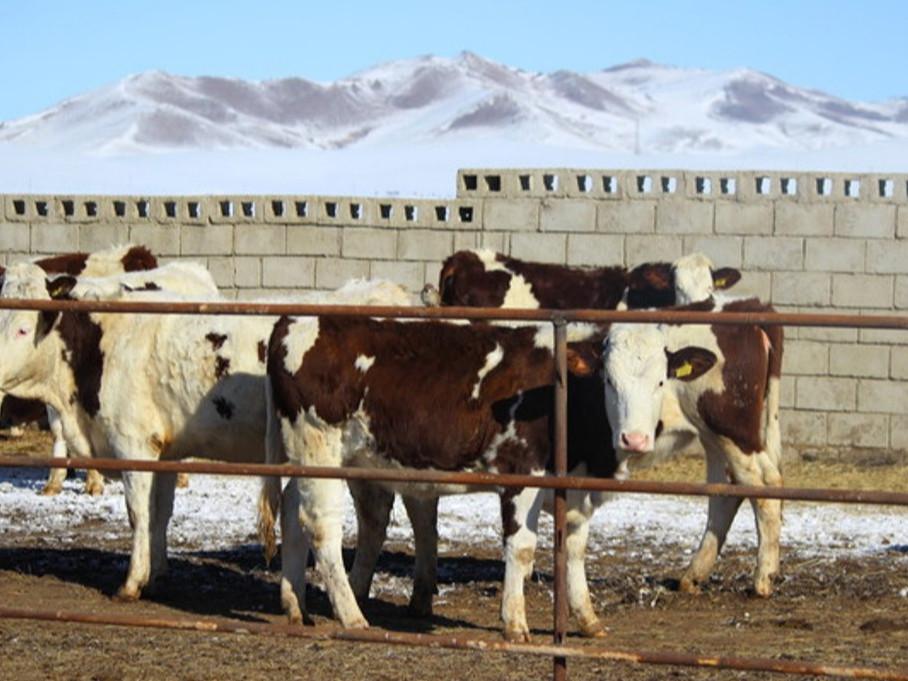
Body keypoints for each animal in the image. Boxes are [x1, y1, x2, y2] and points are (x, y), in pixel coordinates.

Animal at [0, 260, 414, 600]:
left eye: (23, 329)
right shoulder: (165, 451)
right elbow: (160, 513)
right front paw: (157, 574)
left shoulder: (133, 444)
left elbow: (138, 513)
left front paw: (132, 583)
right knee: (376, 519)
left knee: (375, 517)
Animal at [262, 314, 616, 644]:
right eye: (609, 380)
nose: (629, 436)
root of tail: (293, 320)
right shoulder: (522, 473)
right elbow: (522, 548)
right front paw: (515, 624)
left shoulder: (575, 493)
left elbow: (575, 548)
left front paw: (588, 619)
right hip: (318, 449)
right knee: (321, 526)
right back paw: (352, 615)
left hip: (321, 461)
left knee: (293, 512)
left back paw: (296, 606)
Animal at [600, 298, 784, 596]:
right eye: (608, 379)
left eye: (660, 381)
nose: (633, 438)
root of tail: (749, 304)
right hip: (715, 438)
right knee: (727, 489)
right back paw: (695, 575)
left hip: (732, 429)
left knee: (763, 483)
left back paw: (763, 578)